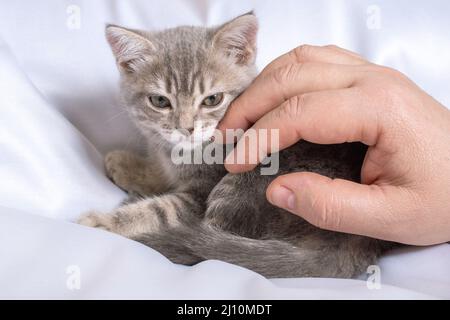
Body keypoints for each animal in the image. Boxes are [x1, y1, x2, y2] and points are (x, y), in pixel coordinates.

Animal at [78, 11, 394, 278]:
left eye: (212, 99)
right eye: (159, 101)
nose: (186, 128)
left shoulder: (200, 194)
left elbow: (162, 210)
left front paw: (104, 222)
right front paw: (129, 165)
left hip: (247, 177)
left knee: (208, 242)